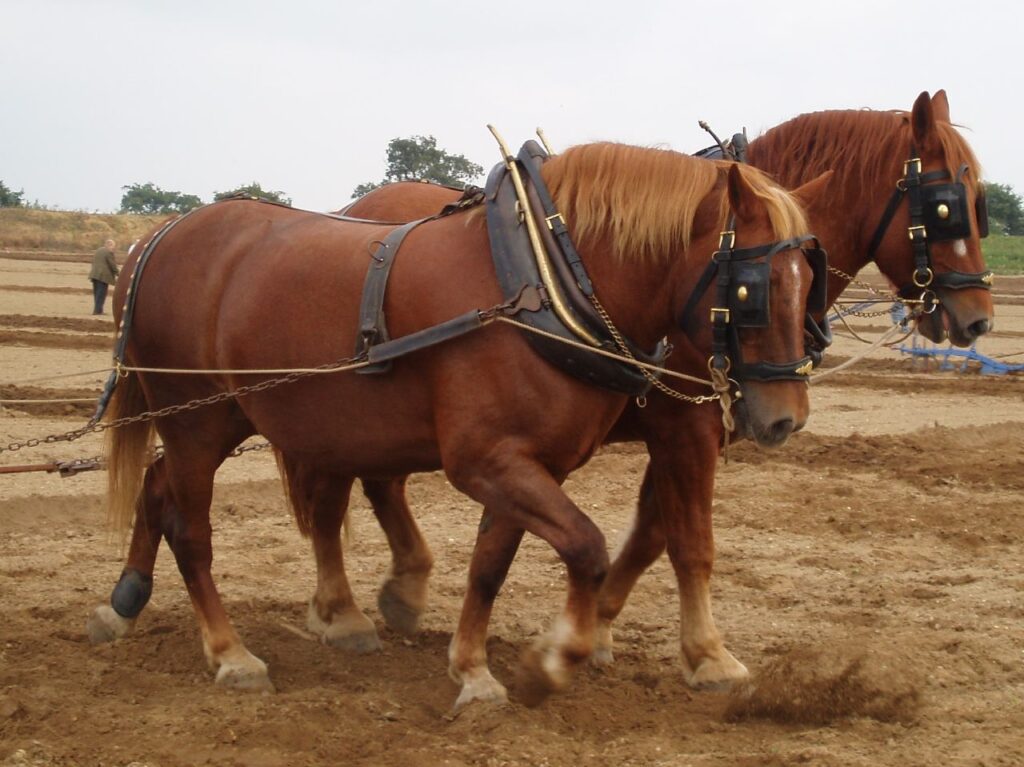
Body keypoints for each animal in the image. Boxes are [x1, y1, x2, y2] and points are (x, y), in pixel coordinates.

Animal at [88, 141, 826, 705]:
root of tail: (155, 239)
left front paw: (472, 668)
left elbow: (491, 565)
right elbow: (590, 546)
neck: (544, 282)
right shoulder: (489, 461)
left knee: (161, 487)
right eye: (751, 288)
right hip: (197, 421)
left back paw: (127, 600)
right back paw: (230, 652)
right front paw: (556, 657)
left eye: (809, 279)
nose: (784, 419)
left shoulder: (529, 462)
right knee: (192, 531)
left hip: (228, 417)